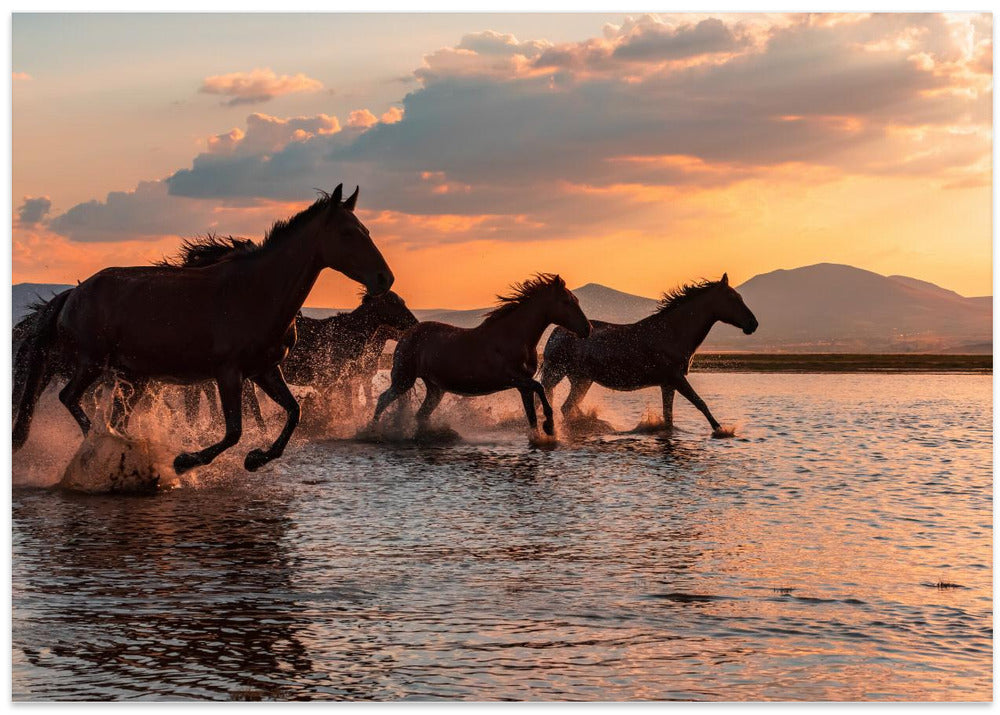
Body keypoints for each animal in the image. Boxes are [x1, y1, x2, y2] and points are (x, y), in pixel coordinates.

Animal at [13, 184, 394, 474]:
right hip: (92, 362)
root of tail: (72, 294)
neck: (255, 292)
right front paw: (185, 461)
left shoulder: (265, 371)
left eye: (367, 230)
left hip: (132, 376)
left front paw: (257, 459)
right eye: (348, 232)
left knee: (113, 416)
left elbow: (293, 412)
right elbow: (234, 431)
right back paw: (108, 447)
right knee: (70, 398)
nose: (384, 279)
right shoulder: (228, 373)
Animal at [372, 273, 591, 437]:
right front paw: (550, 426)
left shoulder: (523, 386)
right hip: (403, 380)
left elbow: (531, 416)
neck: (514, 336)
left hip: (435, 389)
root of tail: (407, 334)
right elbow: (540, 388)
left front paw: (541, 435)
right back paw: (372, 431)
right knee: (383, 400)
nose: (587, 329)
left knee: (421, 415)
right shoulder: (514, 378)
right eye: (567, 301)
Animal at [539, 274, 758, 435]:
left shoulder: (668, 384)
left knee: (567, 407)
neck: (673, 333)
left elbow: (669, 417)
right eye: (733, 298)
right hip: (557, 373)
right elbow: (700, 403)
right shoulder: (676, 378)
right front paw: (722, 430)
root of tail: (556, 332)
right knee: (557, 403)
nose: (753, 324)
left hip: (581, 379)